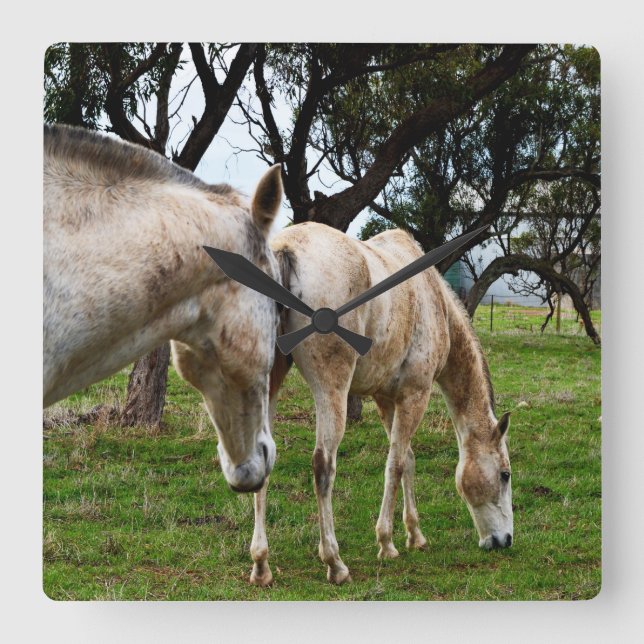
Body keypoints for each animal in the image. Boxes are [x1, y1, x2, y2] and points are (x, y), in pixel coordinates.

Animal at [253, 222, 513, 585]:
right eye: (504, 474)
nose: (505, 540)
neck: (435, 302)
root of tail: (284, 248)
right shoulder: (415, 395)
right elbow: (397, 464)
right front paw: (387, 543)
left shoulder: (387, 400)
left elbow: (408, 459)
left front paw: (415, 535)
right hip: (332, 389)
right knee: (323, 466)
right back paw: (335, 562)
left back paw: (261, 564)